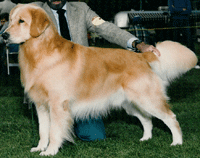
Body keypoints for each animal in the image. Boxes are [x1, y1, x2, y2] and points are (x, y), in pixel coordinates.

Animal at [2, 3, 197, 156]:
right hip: (131, 102)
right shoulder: (41, 105)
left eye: (21, 21)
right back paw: (145, 138)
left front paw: (50, 151)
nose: (4, 36)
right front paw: (40, 148)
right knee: (146, 119)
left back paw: (177, 142)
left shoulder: (57, 104)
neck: (40, 51)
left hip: (148, 99)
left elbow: (54, 132)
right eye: (10, 20)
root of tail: (141, 56)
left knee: (171, 117)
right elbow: (43, 131)